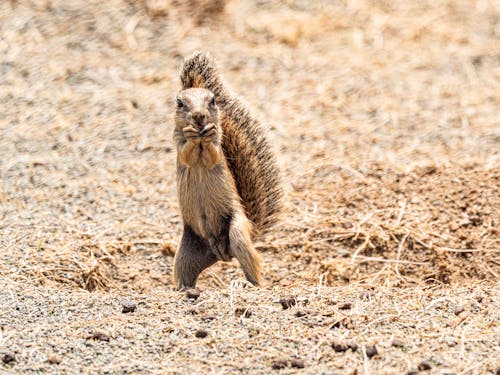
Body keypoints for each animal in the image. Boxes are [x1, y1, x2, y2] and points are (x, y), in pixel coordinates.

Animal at [172, 51, 282, 290]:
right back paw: (183, 289)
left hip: (237, 232)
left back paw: (252, 285)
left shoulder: (217, 149)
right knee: (185, 274)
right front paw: (191, 133)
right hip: (186, 253)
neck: (200, 140)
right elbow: (186, 153)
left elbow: (213, 155)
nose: (199, 117)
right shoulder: (178, 143)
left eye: (213, 101)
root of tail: (221, 253)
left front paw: (208, 131)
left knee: (252, 266)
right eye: (179, 103)